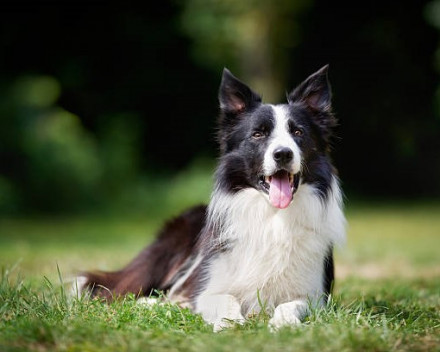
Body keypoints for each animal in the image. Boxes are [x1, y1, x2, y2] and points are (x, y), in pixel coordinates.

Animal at [80, 65, 348, 330]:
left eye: (298, 132)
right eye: (258, 134)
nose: (283, 153)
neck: (272, 217)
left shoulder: (315, 295)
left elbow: (291, 304)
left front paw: (285, 323)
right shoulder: (209, 286)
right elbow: (225, 299)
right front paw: (230, 323)